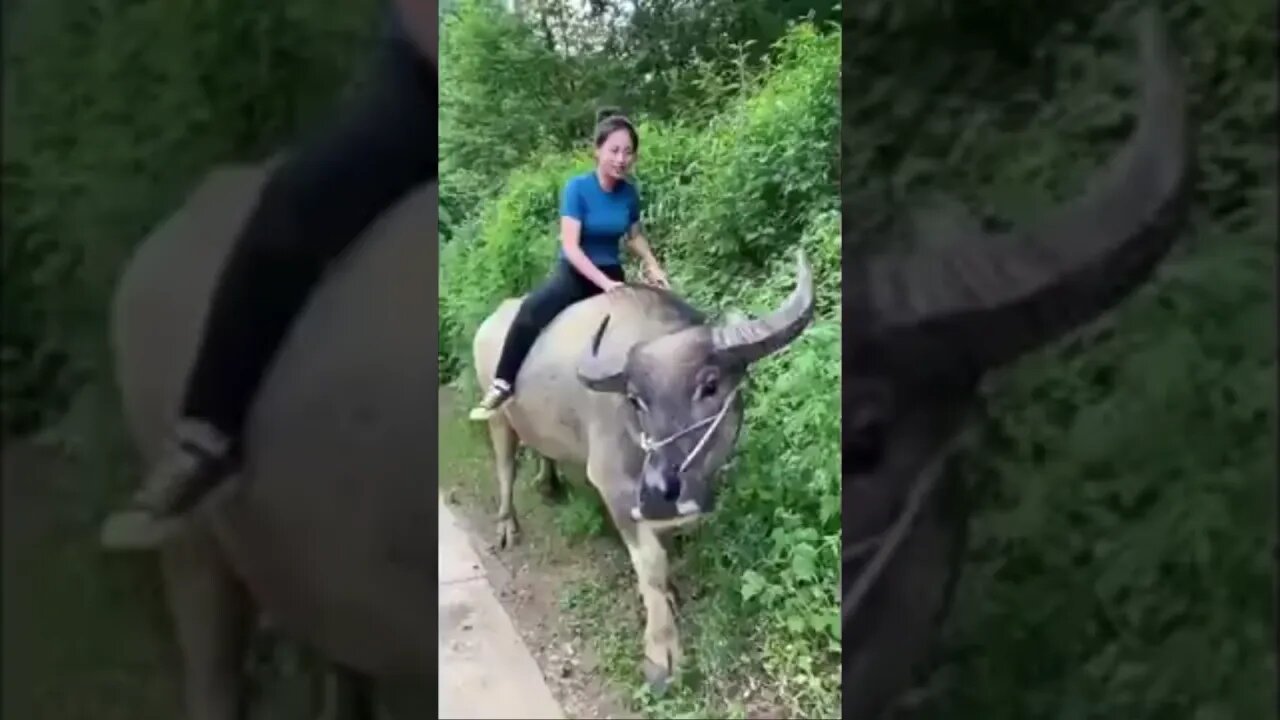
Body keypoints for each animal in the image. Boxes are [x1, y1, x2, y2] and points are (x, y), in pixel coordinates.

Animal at [473, 248, 819, 691]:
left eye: (710, 385)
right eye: (636, 399)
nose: (658, 489)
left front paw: (671, 592)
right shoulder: (617, 488)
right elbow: (650, 566)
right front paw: (661, 655)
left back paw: (549, 483)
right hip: (499, 419)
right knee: (504, 467)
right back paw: (507, 524)